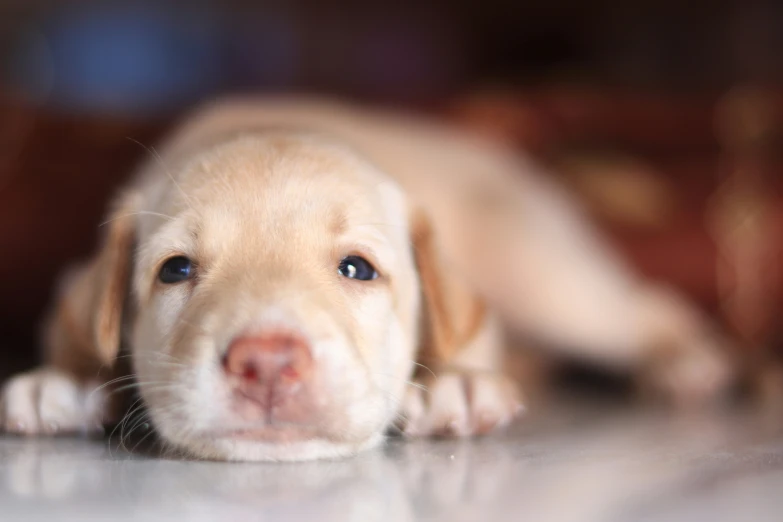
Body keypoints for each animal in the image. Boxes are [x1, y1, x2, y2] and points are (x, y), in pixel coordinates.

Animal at [1, 97, 736, 460]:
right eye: (175, 269)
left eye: (358, 269)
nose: (266, 364)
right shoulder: (72, 287)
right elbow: (73, 329)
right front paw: (62, 381)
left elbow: (464, 336)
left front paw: (455, 386)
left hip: (543, 275)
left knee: (647, 308)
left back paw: (686, 365)